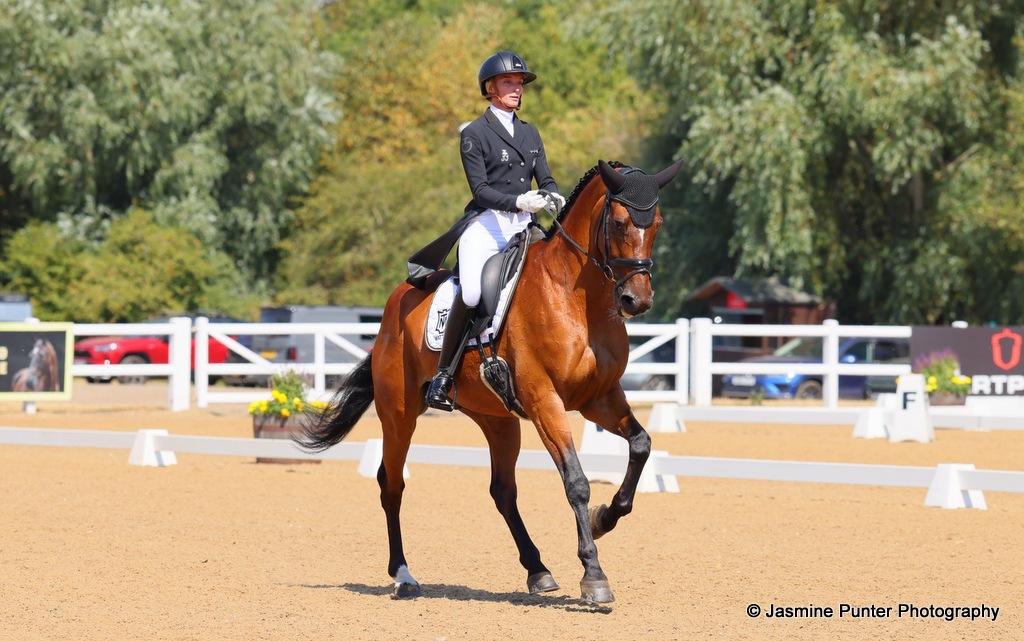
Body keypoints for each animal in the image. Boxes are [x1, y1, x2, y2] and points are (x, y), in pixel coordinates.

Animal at [301, 159, 683, 604]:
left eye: (657, 223)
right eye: (620, 223)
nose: (636, 301)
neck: (576, 299)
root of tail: (395, 303)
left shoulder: (599, 398)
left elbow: (641, 445)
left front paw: (604, 518)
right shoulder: (545, 401)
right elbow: (576, 481)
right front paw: (594, 575)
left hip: (497, 420)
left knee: (502, 490)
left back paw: (538, 570)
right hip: (399, 415)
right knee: (391, 484)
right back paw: (403, 575)